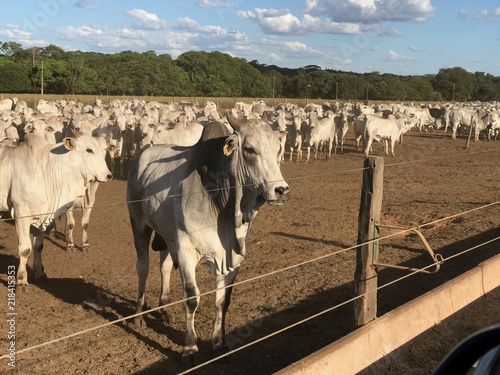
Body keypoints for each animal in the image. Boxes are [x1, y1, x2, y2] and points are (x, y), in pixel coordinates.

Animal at [0, 132, 112, 284]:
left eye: (104, 149)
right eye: (89, 150)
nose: (109, 175)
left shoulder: (44, 216)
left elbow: (38, 246)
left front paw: (39, 272)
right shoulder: (21, 213)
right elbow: (25, 249)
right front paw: (22, 279)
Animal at [126, 115, 290, 364]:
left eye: (277, 149)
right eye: (250, 149)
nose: (281, 190)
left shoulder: (232, 258)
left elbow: (222, 300)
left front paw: (219, 342)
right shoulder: (186, 250)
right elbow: (192, 298)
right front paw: (190, 348)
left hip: (167, 234)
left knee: (164, 266)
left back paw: (164, 309)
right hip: (139, 225)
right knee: (143, 267)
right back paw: (139, 313)